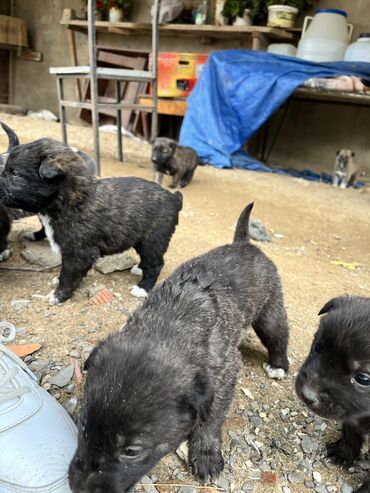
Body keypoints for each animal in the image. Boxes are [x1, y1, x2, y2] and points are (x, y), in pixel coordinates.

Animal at [0, 136, 183, 302]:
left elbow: (68, 275)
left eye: (14, 173)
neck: (72, 200)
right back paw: (139, 268)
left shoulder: (79, 253)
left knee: (156, 264)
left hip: (153, 239)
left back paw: (142, 288)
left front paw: (58, 295)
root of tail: (173, 198)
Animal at [68, 201, 290, 492]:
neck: (167, 326)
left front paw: (206, 453)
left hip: (269, 314)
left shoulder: (226, 374)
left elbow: (211, 418)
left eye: (131, 451)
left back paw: (279, 365)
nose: (79, 488)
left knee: (279, 334)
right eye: (83, 422)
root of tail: (245, 244)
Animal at [296, 296, 370, 492]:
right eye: (316, 347)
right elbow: (350, 434)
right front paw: (343, 454)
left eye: (363, 378)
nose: (307, 394)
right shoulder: (351, 417)